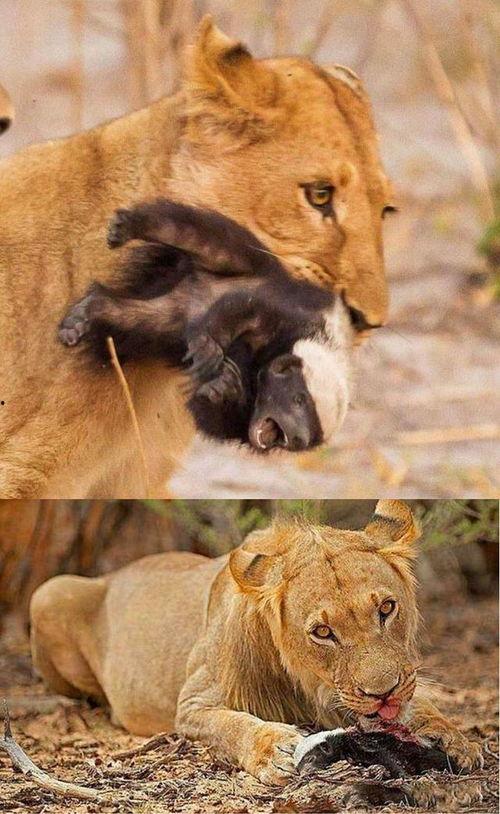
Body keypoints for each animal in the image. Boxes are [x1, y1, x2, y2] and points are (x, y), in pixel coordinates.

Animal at [59, 199, 354, 452]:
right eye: (298, 399)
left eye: (309, 438)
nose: (296, 437)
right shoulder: (285, 312)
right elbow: (240, 308)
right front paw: (208, 349)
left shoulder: (243, 417)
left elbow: (216, 419)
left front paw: (222, 388)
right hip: (242, 259)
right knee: (196, 235)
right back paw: (127, 225)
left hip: (164, 318)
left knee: (128, 316)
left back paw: (83, 316)